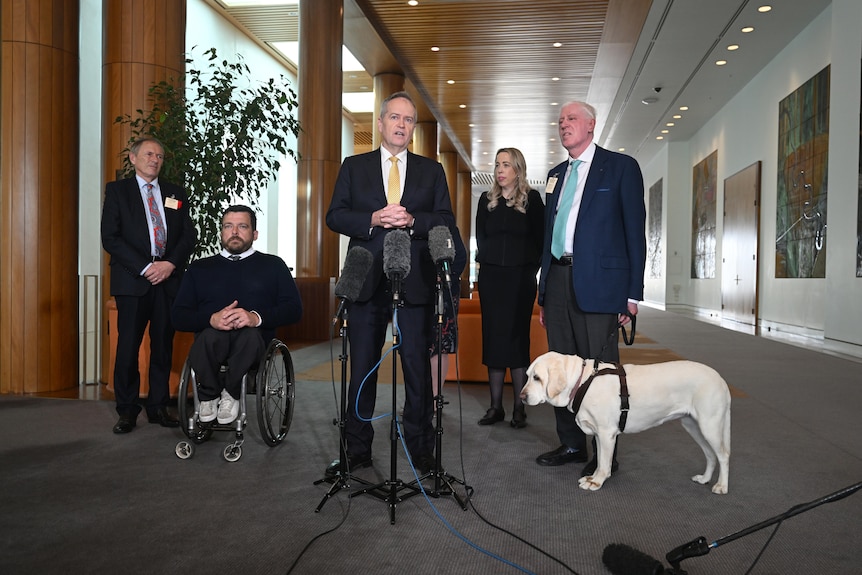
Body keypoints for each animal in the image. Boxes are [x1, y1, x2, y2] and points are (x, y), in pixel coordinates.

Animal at [524, 352, 732, 496]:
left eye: (537, 378)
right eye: (527, 375)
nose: (521, 396)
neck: (583, 381)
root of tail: (721, 379)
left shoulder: (606, 433)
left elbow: (604, 463)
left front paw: (596, 482)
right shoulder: (599, 434)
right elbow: (600, 460)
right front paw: (593, 477)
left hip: (709, 425)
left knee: (723, 455)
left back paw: (721, 486)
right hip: (693, 426)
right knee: (710, 455)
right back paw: (704, 479)